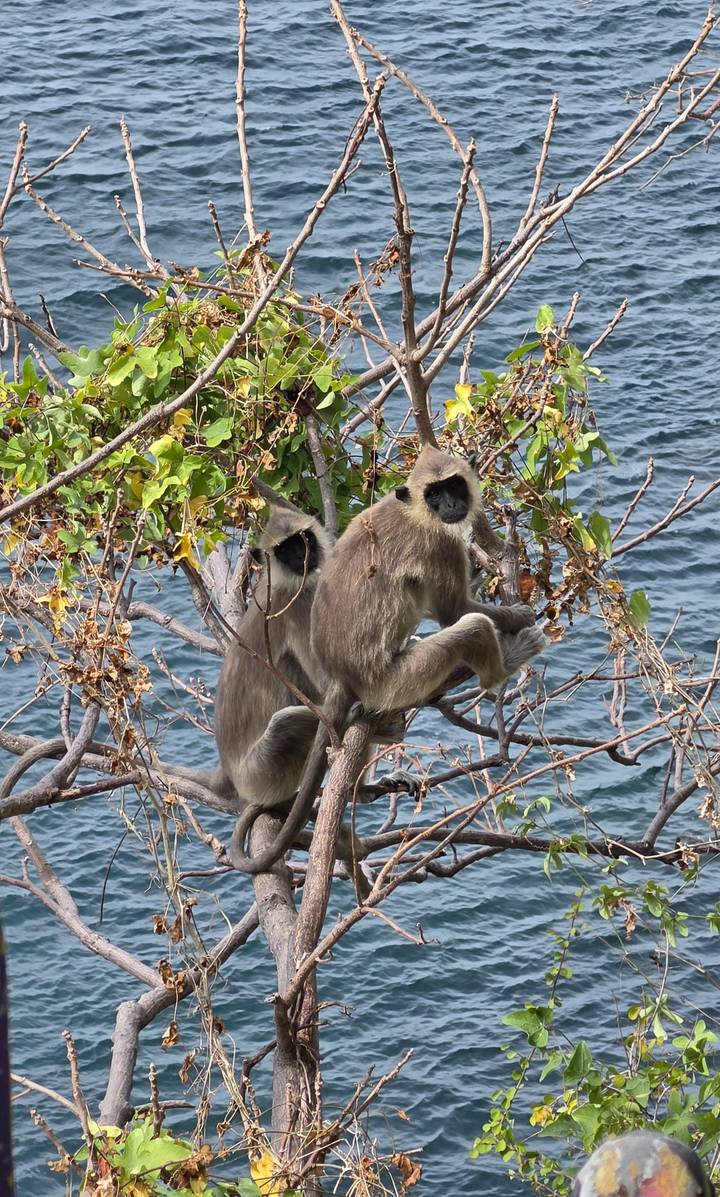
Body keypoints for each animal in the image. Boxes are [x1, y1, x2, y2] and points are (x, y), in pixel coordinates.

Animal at [310, 445, 545, 716]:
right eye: (434, 493)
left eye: (454, 485)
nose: (451, 504)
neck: (413, 512)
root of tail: (341, 676)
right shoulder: (441, 544)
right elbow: (454, 611)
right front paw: (519, 616)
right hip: (393, 685)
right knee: (474, 626)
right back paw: (504, 667)